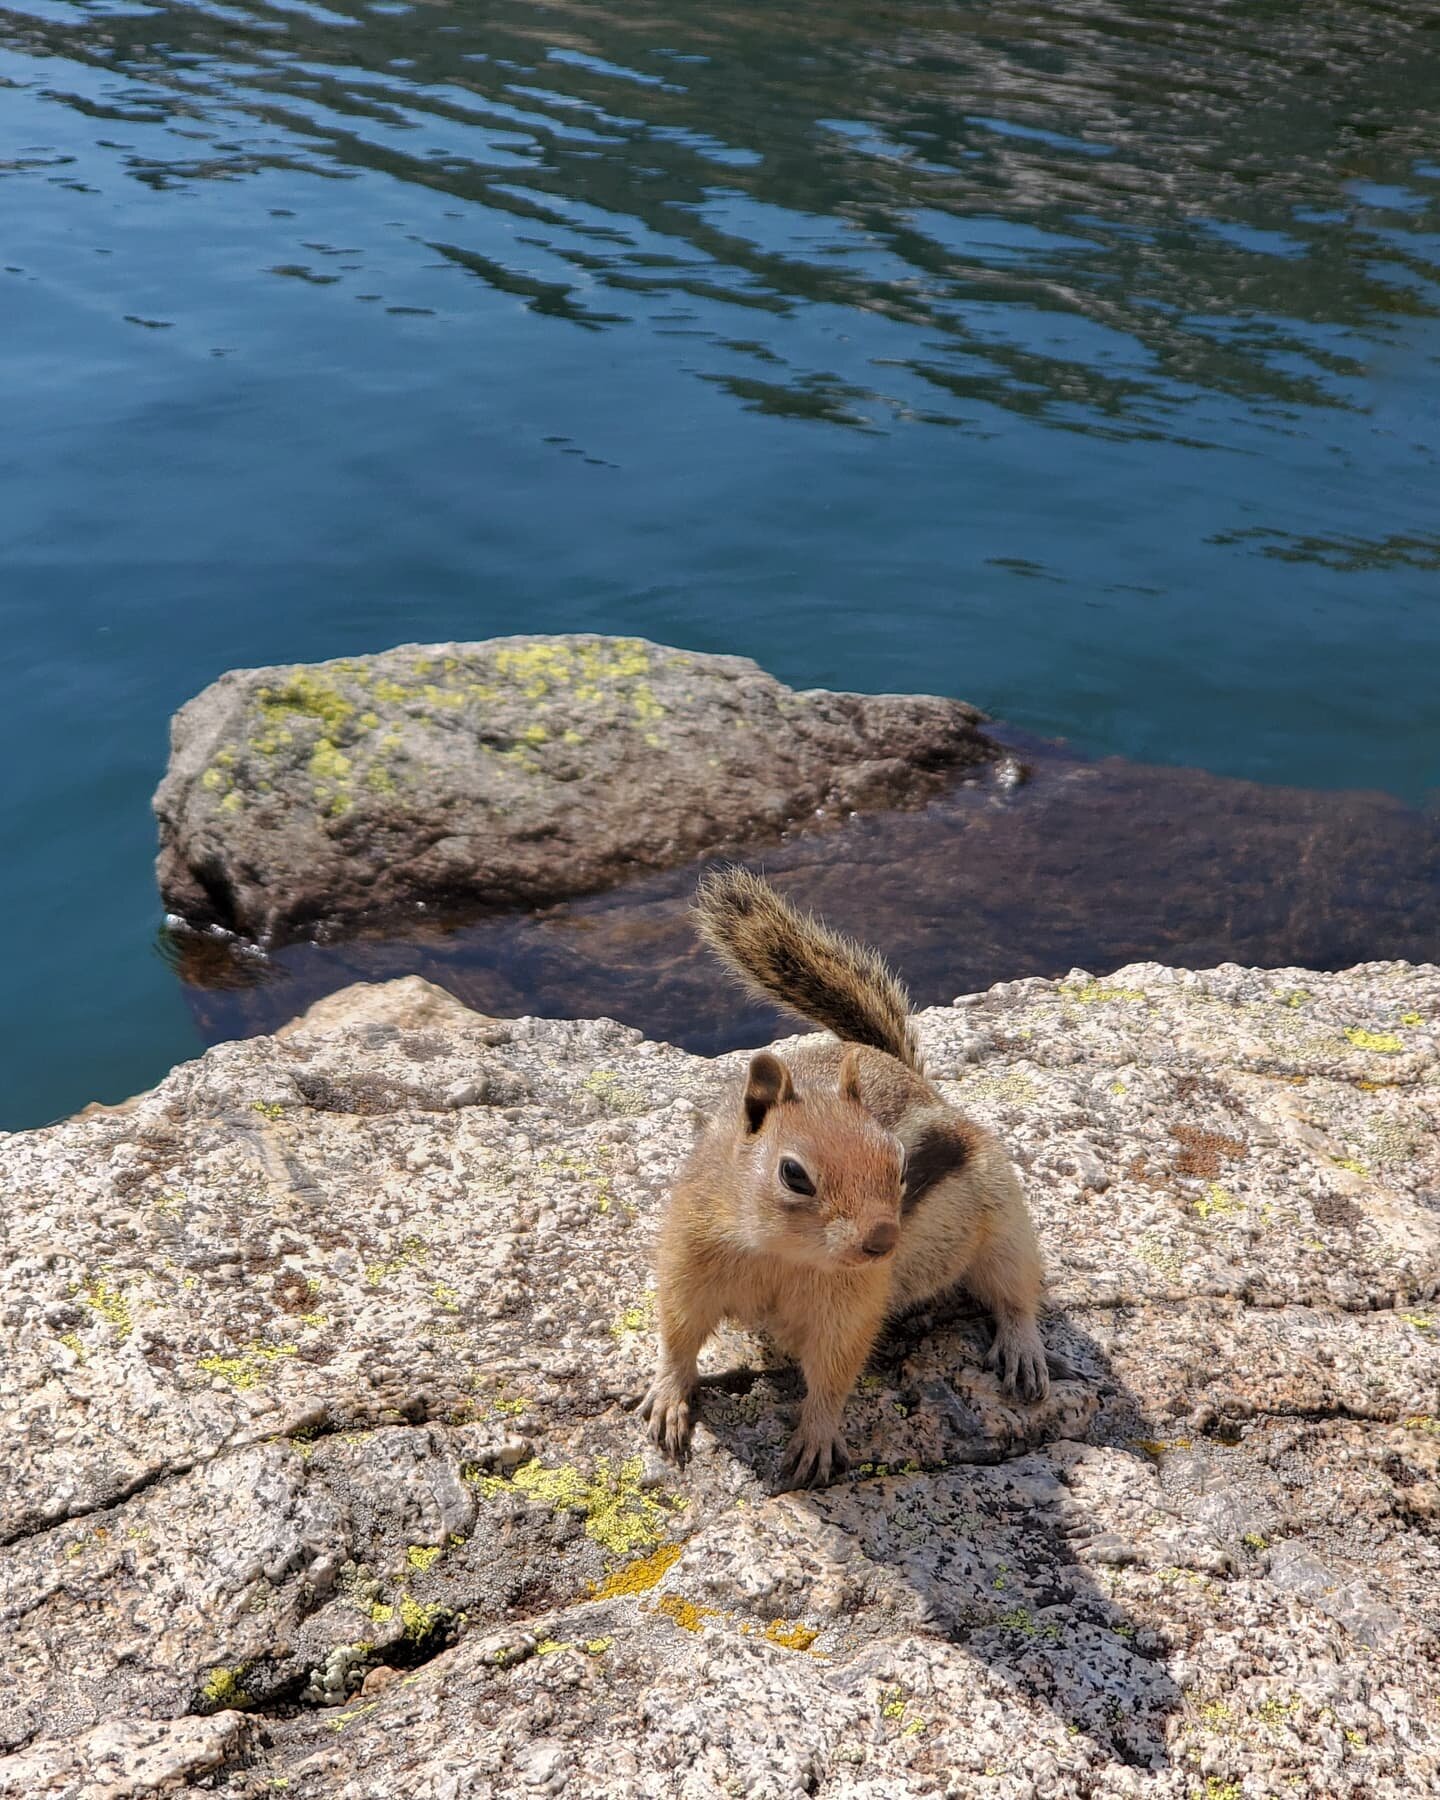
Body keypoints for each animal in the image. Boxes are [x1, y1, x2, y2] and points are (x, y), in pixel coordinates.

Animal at [640, 864, 1044, 1483]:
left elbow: (834, 1370)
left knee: (1016, 1291)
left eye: (901, 1166)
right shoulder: (690, 1256)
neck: (782, 1256)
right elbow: (678, 1333)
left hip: (1005, 1220)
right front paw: (668, 1397)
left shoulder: (851, 1306)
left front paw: (818, 1436)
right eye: (793, 1174)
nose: (882, 1241)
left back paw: (1024, 1351)